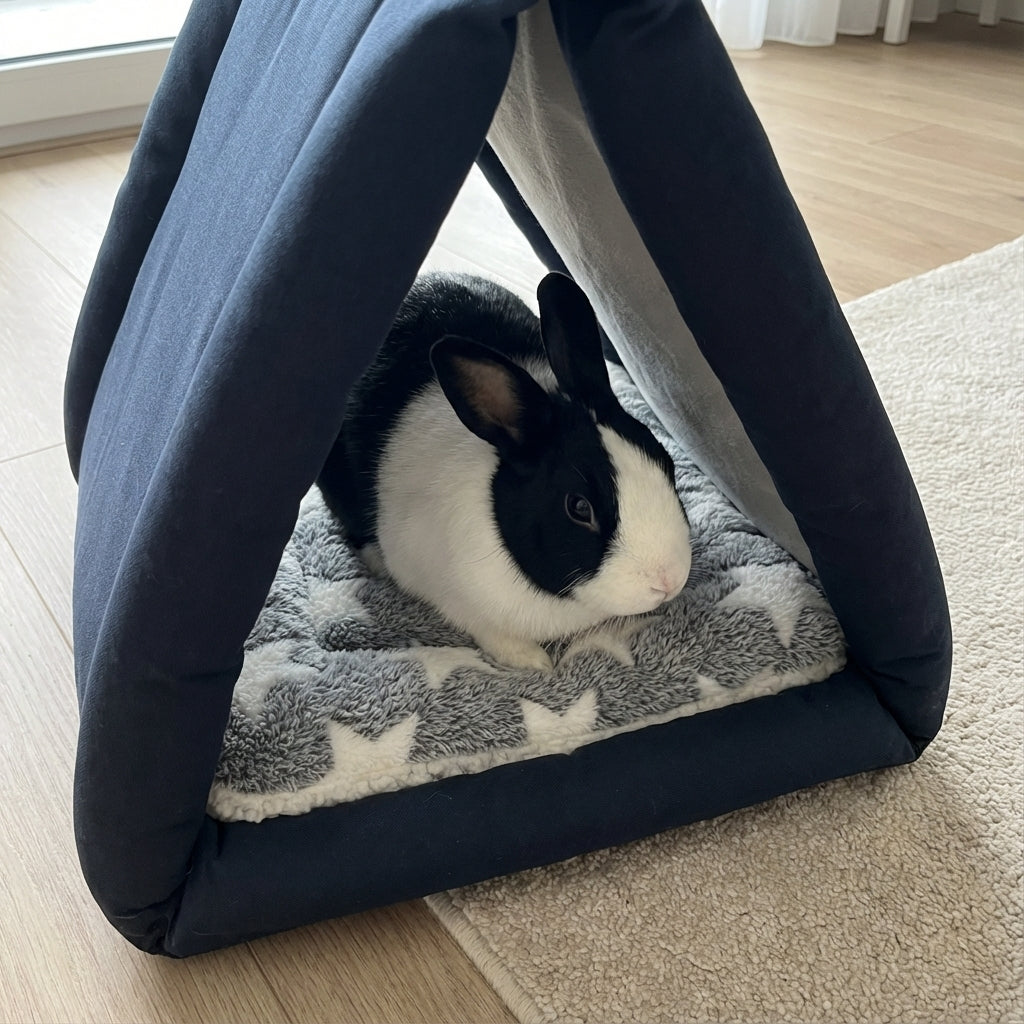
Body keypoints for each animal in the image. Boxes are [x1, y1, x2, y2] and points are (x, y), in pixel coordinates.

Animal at [317, 271, 691, 672]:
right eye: (578, 508)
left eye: (666, 463)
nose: (668, 581)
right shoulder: (452, 597)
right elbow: (491, 633)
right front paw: (534, 663)